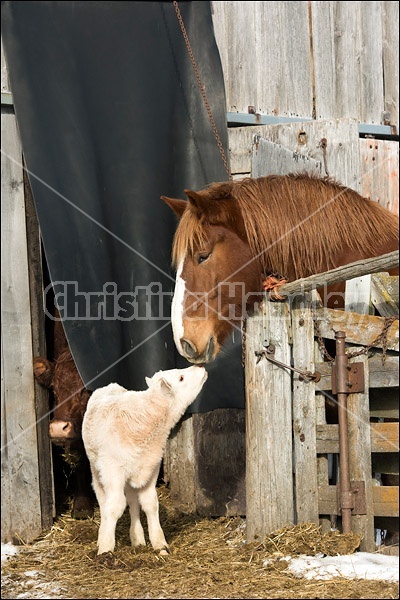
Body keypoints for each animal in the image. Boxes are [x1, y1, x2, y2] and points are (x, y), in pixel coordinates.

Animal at [80, 364, 206, 556]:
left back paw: (137, 539)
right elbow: (114, 506)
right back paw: (103, 536)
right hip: (97, 469)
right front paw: (106, 548)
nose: (200, 366)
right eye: (181, 378)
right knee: (103, 500)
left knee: (132, 501)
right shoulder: (113, 471)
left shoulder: (151, 467)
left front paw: (160, 544)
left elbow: (150, 503)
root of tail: (110, 385)